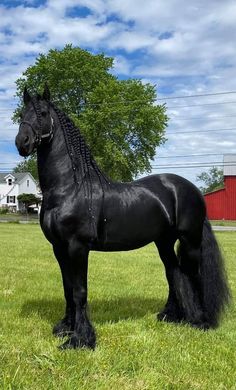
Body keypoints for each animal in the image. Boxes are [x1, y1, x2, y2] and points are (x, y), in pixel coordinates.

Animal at [15, 87, 230, 348]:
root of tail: (192, 189)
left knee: (193, 275)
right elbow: (67, 288)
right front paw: (65, 328)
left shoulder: (78, 247)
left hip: (190, 241)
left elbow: (79, 291)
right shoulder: (59, 248)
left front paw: (81, 339)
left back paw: (201, 321)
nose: (22, 143)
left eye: (43, 113)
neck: (69, 188)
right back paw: (171, 316)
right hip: (164, 242)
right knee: (173, 273)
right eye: (22, 114)